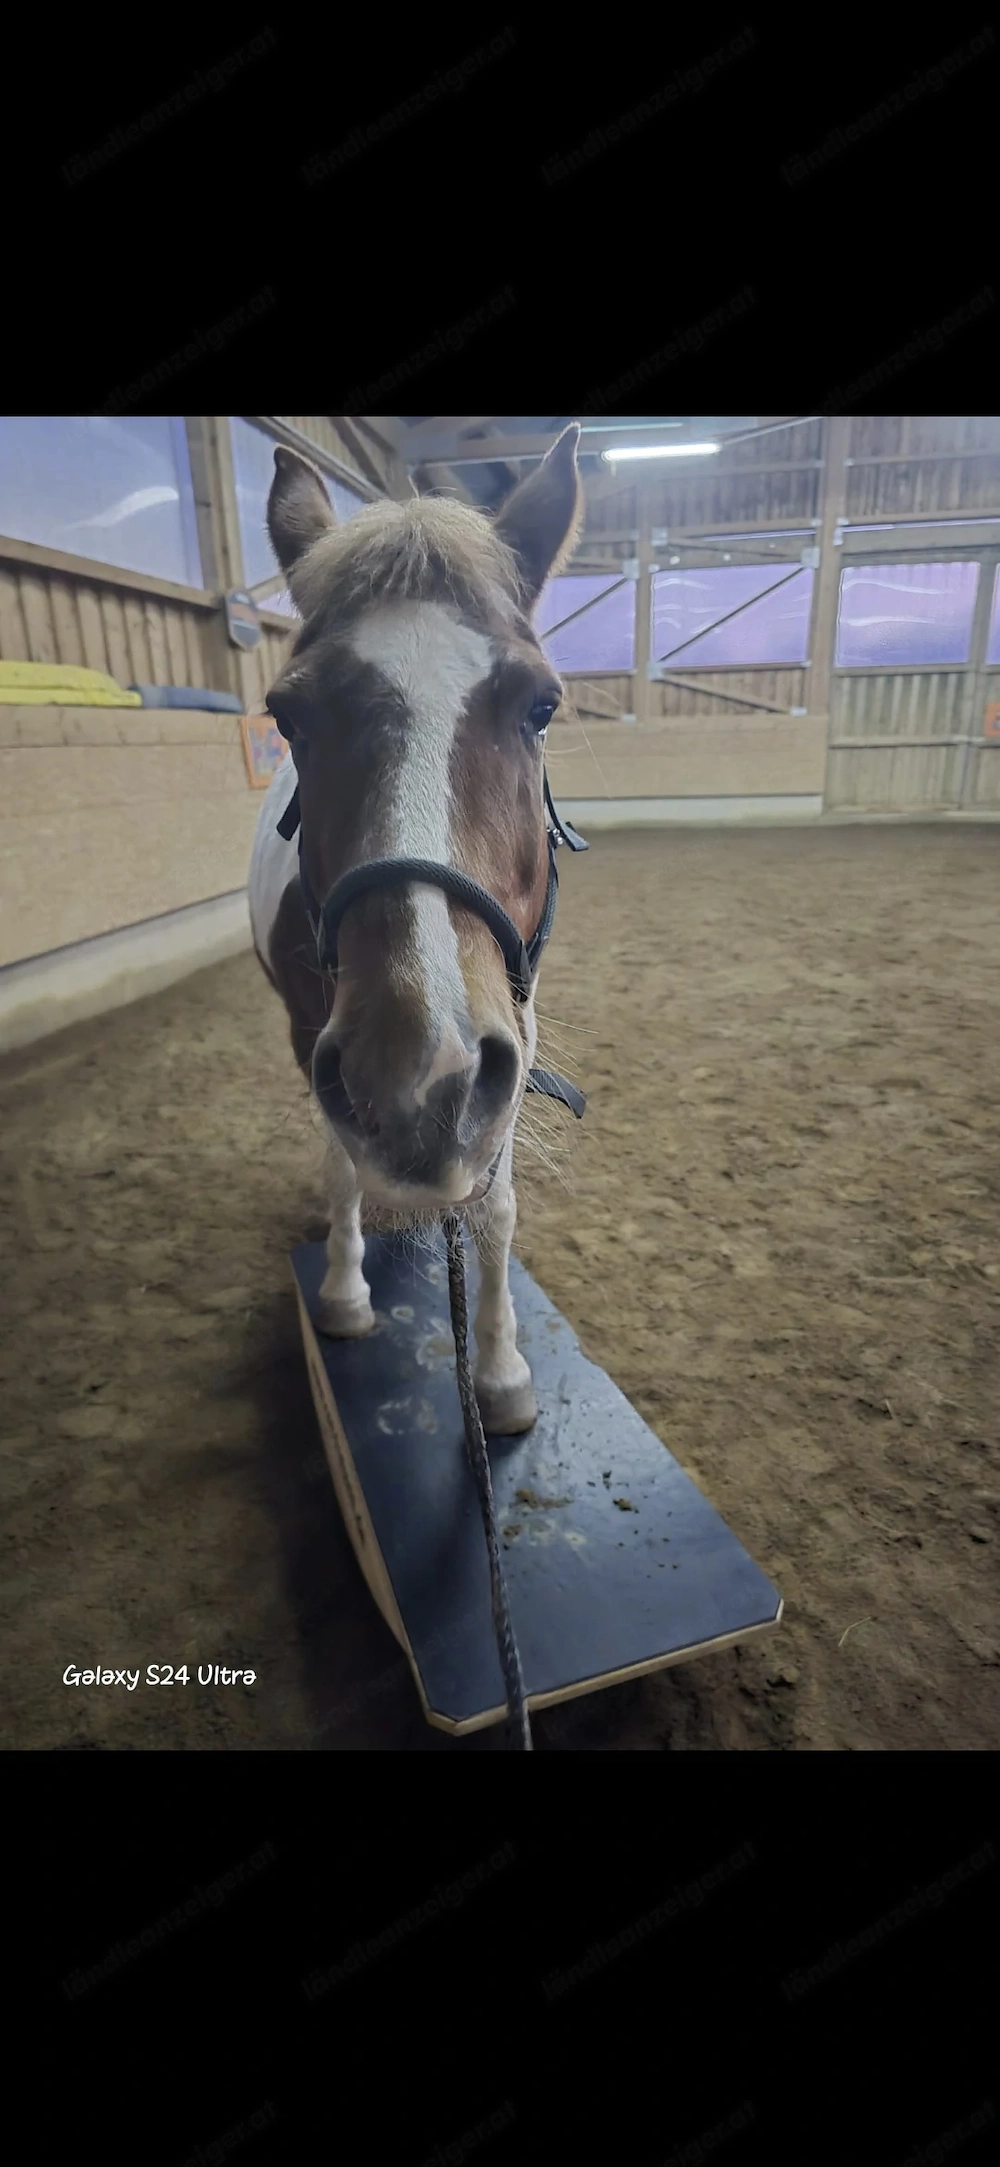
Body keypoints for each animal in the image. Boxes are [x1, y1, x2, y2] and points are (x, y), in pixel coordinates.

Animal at [248, 424, 584, 1437]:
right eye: (287, 715)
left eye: (542, 705)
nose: (415, 1081)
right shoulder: (313, 1036)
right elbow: (340, 1167)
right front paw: (346, 1292)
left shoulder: (512, 1028)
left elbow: (497, 1203)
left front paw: (502, 1372)